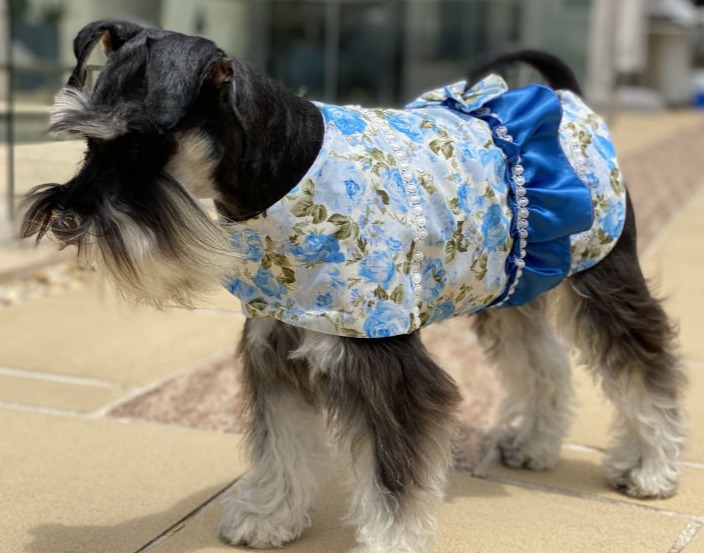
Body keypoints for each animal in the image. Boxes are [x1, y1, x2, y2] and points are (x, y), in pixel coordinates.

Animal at [23, 21, 688, 552]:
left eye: (140, 141)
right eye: (88, 141)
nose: (65, 220)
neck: (285, 174)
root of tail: (571, 100)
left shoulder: (386, 366)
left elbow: (394, 481)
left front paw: (390, 542)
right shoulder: (275, 344)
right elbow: (282, 445)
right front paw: (270, 517)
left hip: (602, 275)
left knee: (644, 366)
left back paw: (651, 469)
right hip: (508, 285)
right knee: (544, 362)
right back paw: (535, 443)